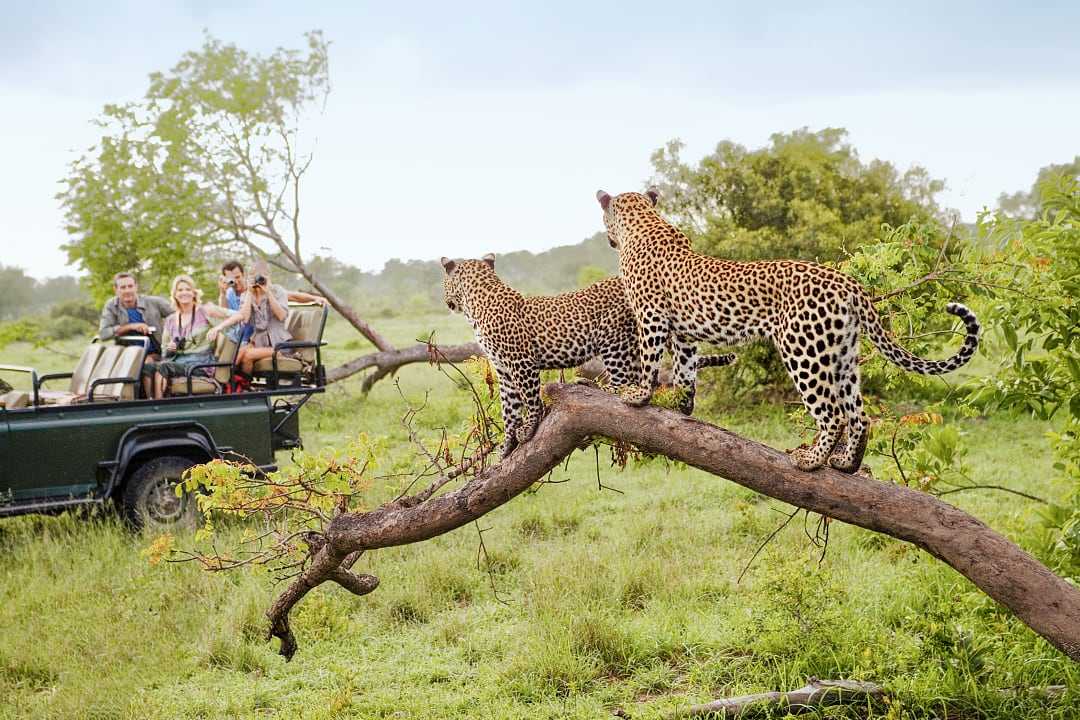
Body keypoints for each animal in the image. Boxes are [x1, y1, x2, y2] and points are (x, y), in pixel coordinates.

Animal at [438, 254, 734, 455]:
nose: (446, 302)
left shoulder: (521, 362)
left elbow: (530, 400)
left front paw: (530, 427)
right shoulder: (503, 368)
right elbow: (508, 407)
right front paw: (508, 443)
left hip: (614, 339)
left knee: (623, 383)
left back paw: (594, 386)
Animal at [596, 188, 984, 474]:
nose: (607, 238)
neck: (644, 222)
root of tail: (848, 283)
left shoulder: (651, 316)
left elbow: (650, 360)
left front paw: (638, 395)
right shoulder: (685, 332)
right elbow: (685, 370)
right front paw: (682, 405)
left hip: (803, 350)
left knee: (833, 414)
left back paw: (811, 461)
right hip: (843, 355)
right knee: (859, 415)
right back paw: (846, 463)